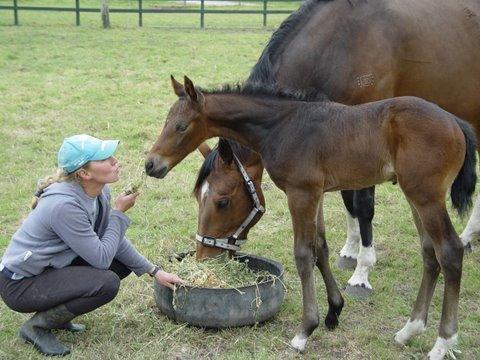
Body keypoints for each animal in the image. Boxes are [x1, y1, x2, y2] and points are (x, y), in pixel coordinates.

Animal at [146, 75, 476, 358]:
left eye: (222, 202)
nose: (151, 164)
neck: (282, 125)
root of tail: (456, 122)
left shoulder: (300, 193)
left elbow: (304, 254)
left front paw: (305, 331)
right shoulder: (316, 194)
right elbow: (321, 247)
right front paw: (333, 311)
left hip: (426, 198)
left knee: (450, 251)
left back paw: (443, 343)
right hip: (415, 197)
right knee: (430, 253)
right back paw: (409, 330)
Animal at [191, 0, 480, 296]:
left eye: (222, 202)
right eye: (197, 197)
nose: (204, 257)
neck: (342, 40)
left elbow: (363, 205)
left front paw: (362, 272)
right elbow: (347, 198)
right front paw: (350, 251)